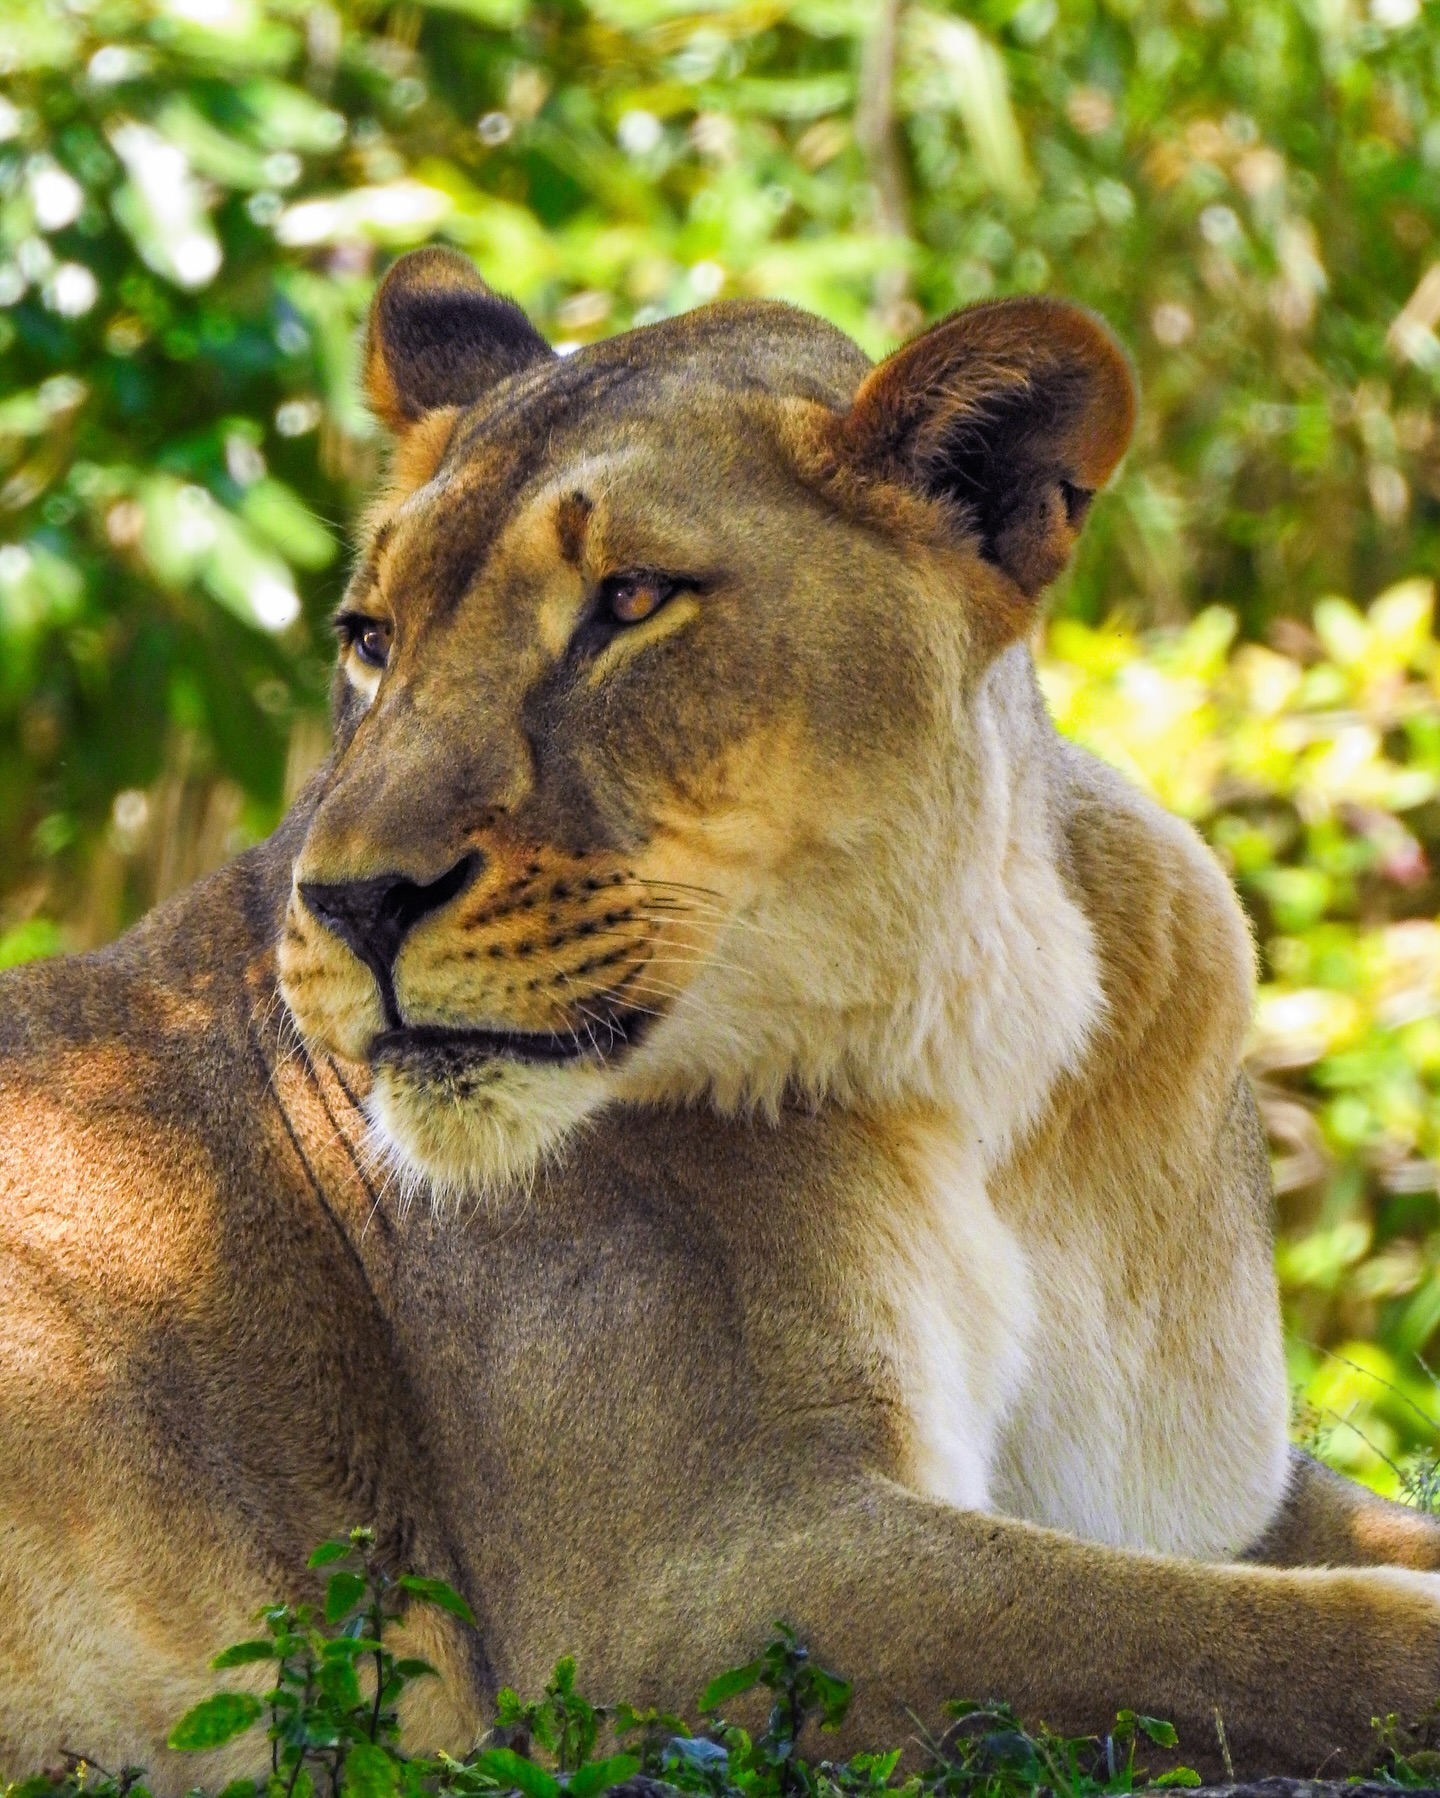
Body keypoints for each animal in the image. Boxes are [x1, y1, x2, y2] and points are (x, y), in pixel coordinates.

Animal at [3, 246, 1440, 1790]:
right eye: (371, 639)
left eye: (632, 600)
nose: (353, 900)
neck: (988, 1046)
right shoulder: (687, 1592)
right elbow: (1250, 1638)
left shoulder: (1200, 1490)